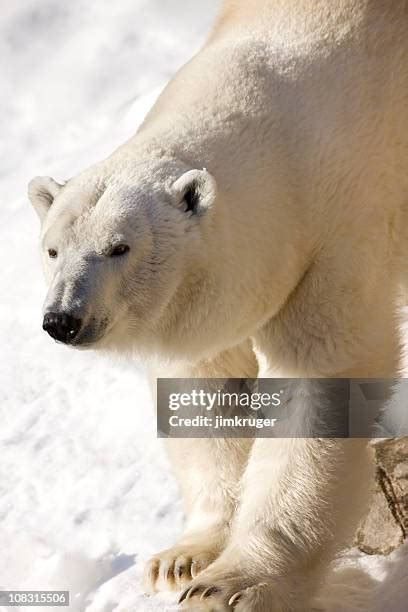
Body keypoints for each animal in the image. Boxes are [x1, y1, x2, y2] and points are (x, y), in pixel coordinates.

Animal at [27, 0, 408, 608]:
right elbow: (205, 393)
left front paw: (233, 584)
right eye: (53, 248)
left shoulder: (336, 236)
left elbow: (319, 379)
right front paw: (182, 560)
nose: (63, 319)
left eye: (119, 247)